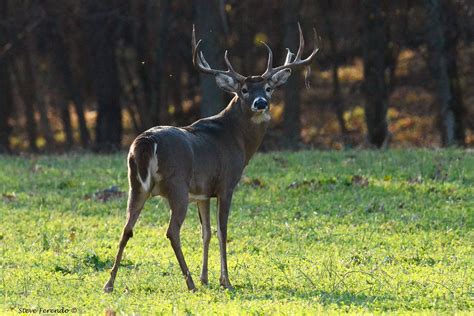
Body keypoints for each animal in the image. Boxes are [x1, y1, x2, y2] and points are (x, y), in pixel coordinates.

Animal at [103, 23, 318, 292]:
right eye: (244, 90)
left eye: (268, 88)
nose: (260, 103)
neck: (237, 140)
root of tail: (147, 141)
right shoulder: (226, 183)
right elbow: (222, 230)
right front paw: (225, 280)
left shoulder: (202, 192)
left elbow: (205, 231)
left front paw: (206, 277)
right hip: (176, 185)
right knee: (171, 231)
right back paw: (189, 283)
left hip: (136, 184)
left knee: (127, 228)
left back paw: (109, 283)